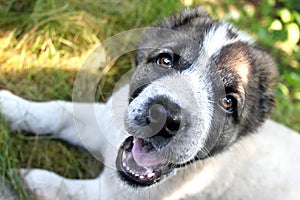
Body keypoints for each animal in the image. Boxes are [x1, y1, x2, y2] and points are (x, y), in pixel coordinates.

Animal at [0, 6, 300, 200]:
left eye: (228, 102)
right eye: (165, 60)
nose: (163, 118)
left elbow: (67, 189)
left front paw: (31, 180)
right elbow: (59, 111)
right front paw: (10, 106)